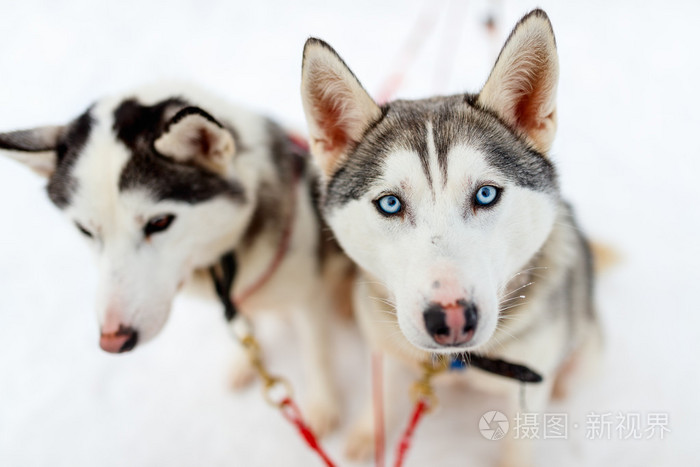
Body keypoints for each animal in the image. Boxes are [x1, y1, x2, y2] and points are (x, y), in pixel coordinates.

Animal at [0, 83, 350, 436]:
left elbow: (316, 354)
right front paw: (243, 361)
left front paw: (322, 407)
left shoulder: (307, 298)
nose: (114, 340)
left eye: (159, 222)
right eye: (85, 230)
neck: (222, 261)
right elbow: (243, 329)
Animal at [300, 9, 600, 466]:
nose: (452, 319)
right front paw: (369, 434)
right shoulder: (386, 347)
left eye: (485, 194)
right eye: (390, 203)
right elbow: (379, 396)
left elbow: (518, 444)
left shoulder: (526, 391)